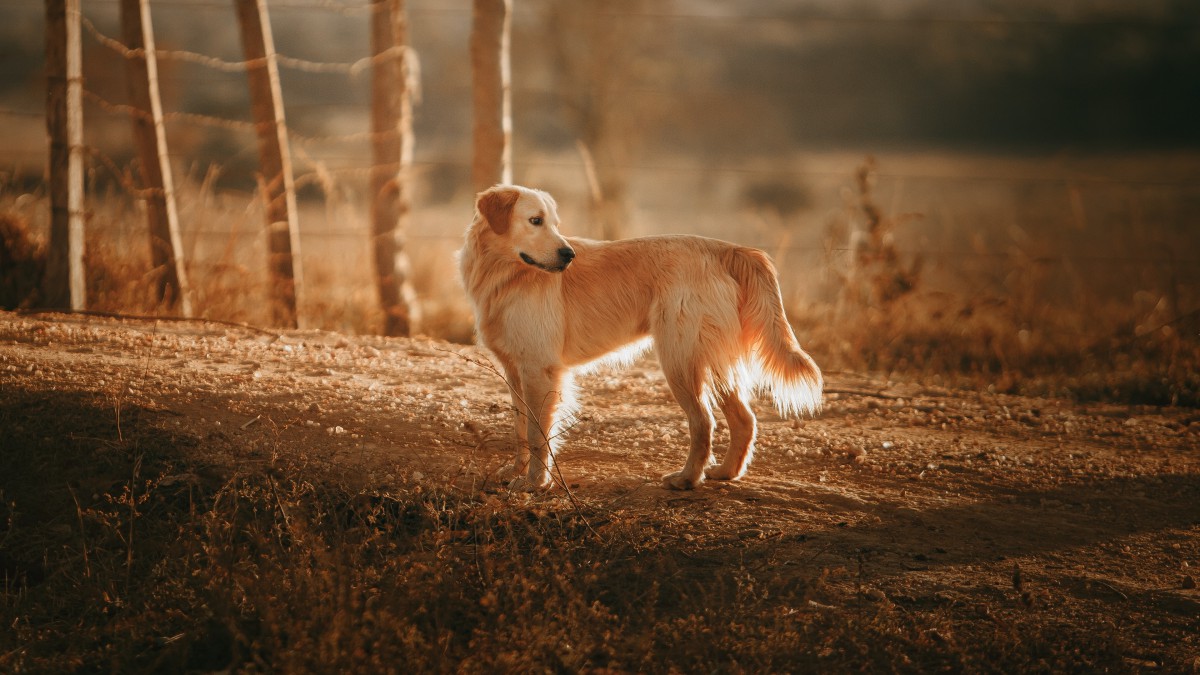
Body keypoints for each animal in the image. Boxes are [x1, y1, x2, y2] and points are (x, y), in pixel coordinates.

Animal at [453, 183, 820, 487]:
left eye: (553, 223)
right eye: (535, 221)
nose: (569, 255)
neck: (504, 273)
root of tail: (728, 249)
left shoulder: (539, 370)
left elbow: (536, 433)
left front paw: (534, 483)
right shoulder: (515, 371)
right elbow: (518, 428)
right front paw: (515, 471)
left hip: (679, 360)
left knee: (703, 423)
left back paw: (687, 478)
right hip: (711, 360)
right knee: (745, 420)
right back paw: (725, 472)